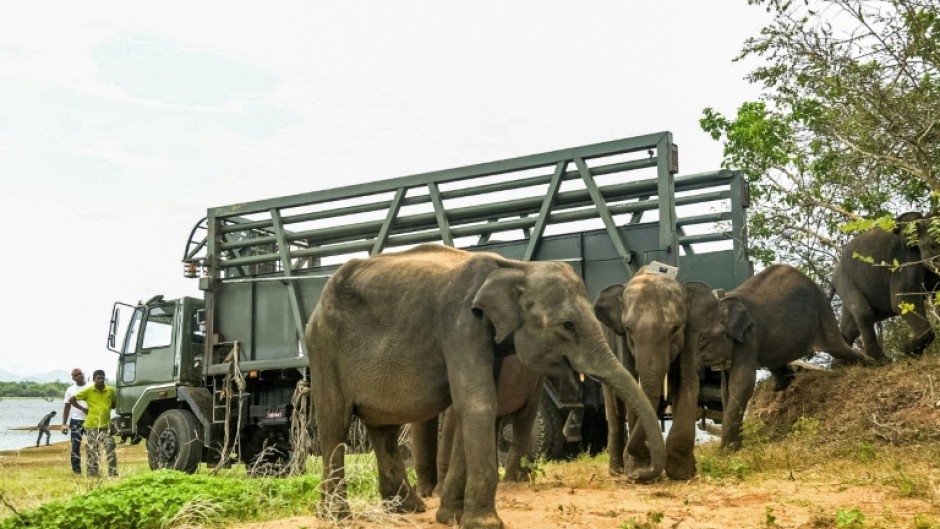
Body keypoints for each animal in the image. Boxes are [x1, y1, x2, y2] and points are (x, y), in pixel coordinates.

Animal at [305, 244, 666, 529]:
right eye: (568, 325)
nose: (638, 476)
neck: (515, 268)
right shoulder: (462, 327)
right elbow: (479, 404)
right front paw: (484, 524)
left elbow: (477, 406)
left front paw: (450, 518)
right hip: (324, 347)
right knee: (335, 424)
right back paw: (337, 516)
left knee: (384, 430)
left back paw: (407, 509)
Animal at [594, 271, 729, 480]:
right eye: (628, 329)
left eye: (675, 328)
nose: (637, 476)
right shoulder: (622, 342)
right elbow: (632, 388)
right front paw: (637, 469)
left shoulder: (690, 335)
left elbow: (687, 383)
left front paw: (681, 473)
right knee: (615, 408)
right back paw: (617, 470)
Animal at [715, 264, 875, 450]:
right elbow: (728, 386)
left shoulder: (748, 337)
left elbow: (742, 382)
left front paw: (725, 452)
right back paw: (783, 384)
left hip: (821, 311)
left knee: (837, 347)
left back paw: (877, 363)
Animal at [832, 211, 940, 363]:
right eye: (932, 246)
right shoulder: (905, 260)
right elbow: (901, 300)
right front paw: (908, 350)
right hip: (844, 280)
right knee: (863, 311)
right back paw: (882, 361)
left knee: (851, 327)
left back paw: (842, 365)